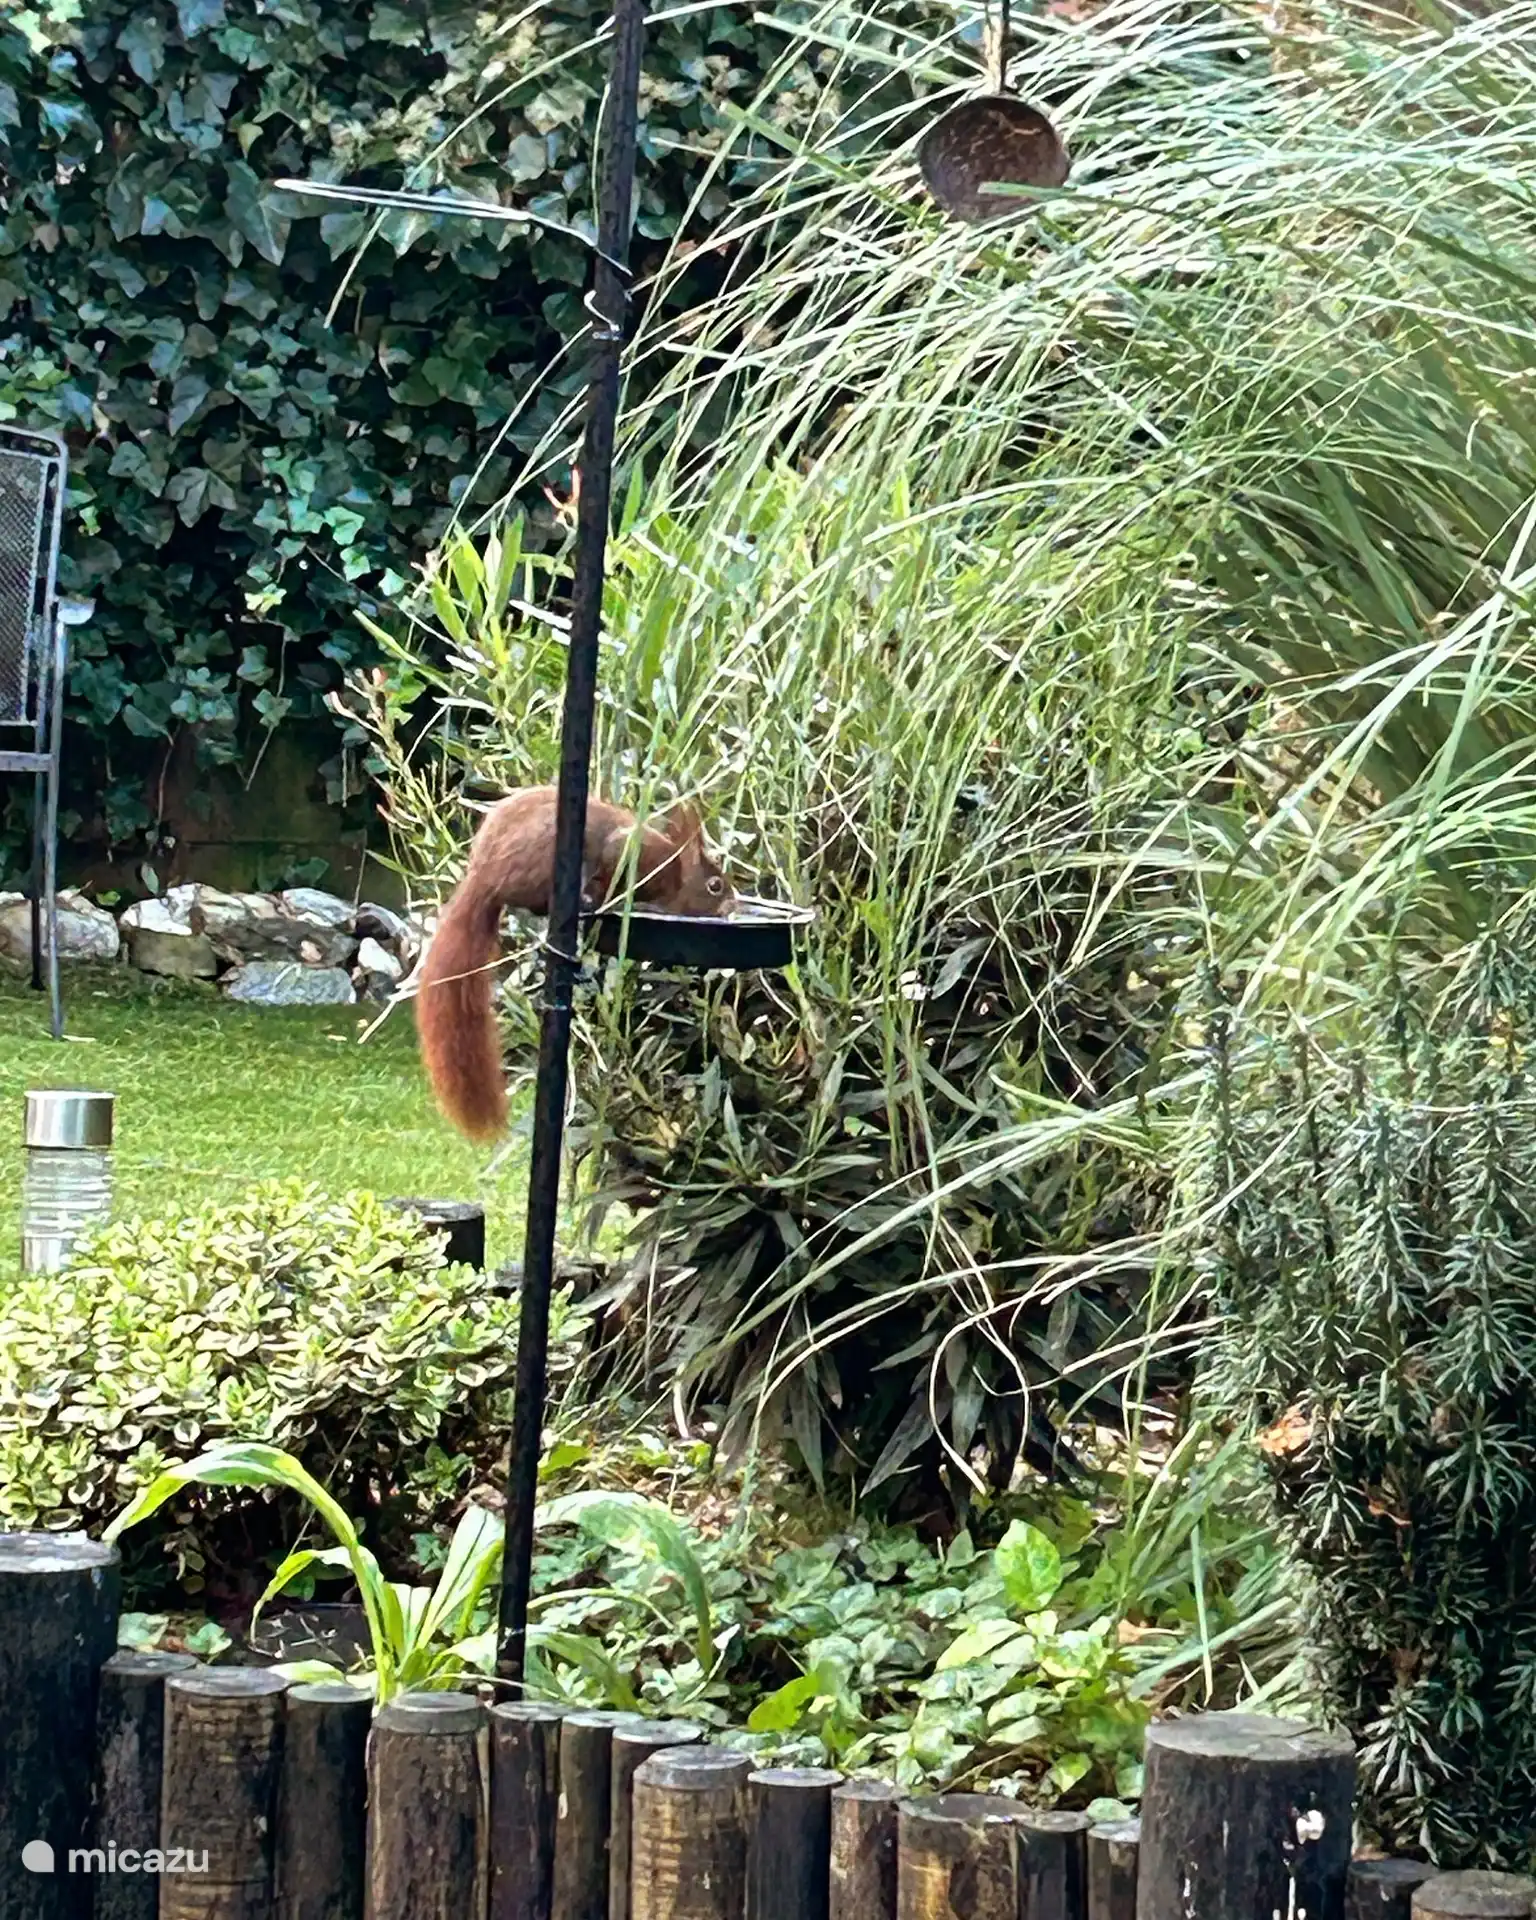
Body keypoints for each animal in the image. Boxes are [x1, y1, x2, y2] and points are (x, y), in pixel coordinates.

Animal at [414, 785, 734, 1140]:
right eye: (715, 885)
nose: (733, 905)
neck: (674, 872)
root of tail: (483, 878)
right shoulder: (631, 853)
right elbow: (612, 860)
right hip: (542, 860)